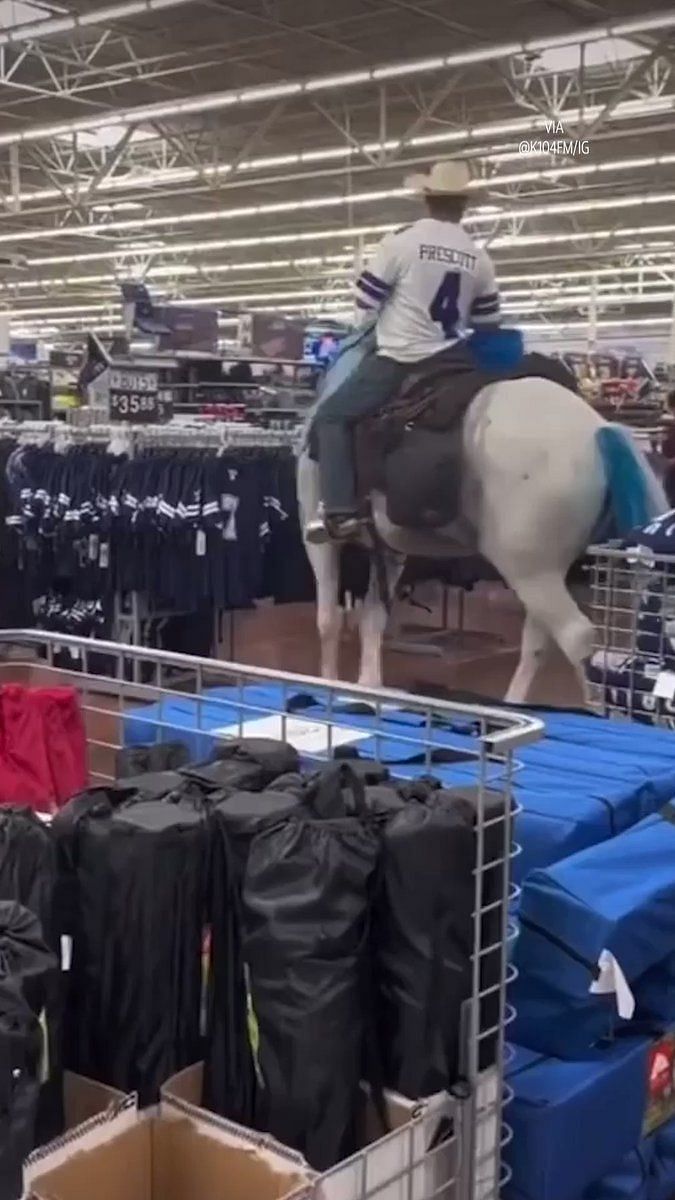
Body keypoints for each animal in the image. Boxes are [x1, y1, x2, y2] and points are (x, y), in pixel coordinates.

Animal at [296, 376, 662, 700]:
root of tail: (598, 431)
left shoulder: (321, 542)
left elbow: (328, 621)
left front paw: (329, 683)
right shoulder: (389, 551)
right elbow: (372, 618)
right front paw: (368, 685)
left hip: (530, 572)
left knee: (576, 637)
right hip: (545, 572)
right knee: (539, 644)